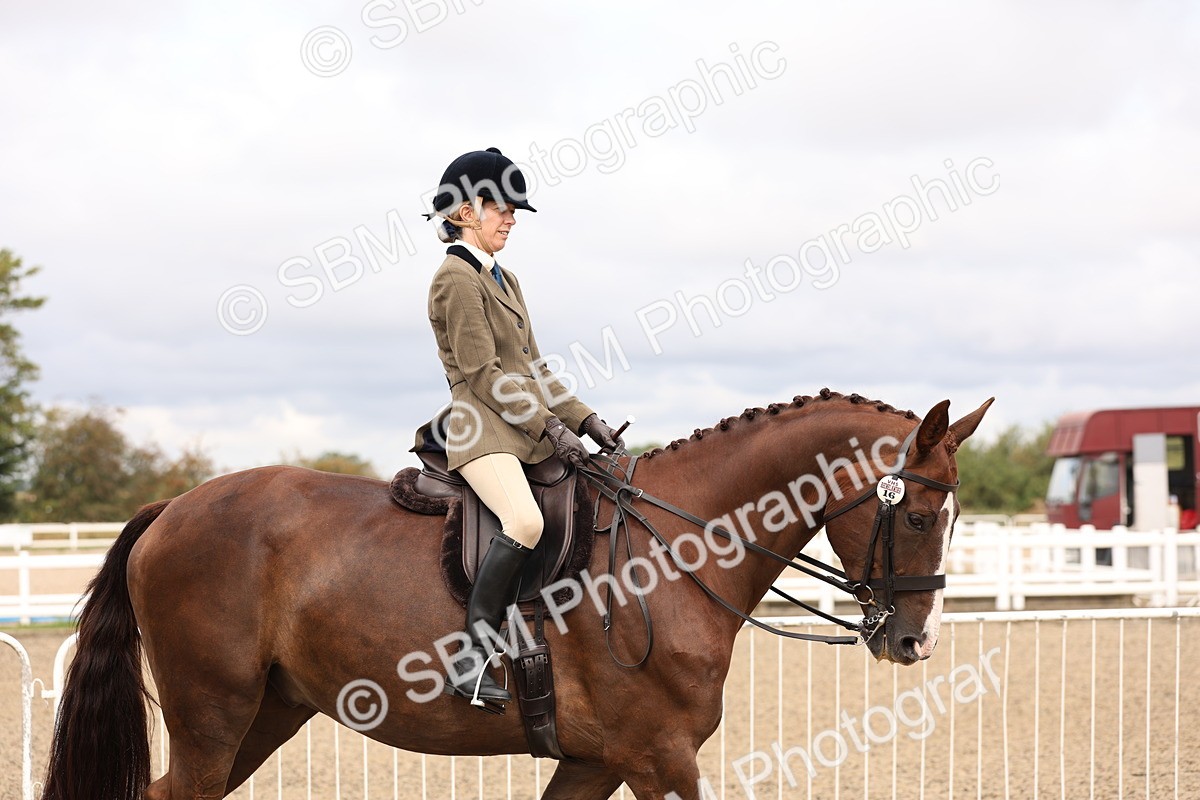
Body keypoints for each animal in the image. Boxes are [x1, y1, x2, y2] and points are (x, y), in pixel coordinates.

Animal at [42, 389, 992, 800]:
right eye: (918, 516)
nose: (914, 641)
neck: (674, 550)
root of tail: (173, 508)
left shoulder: (597, 761)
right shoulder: (658, 756)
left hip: (266, 714)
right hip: (214, 715)